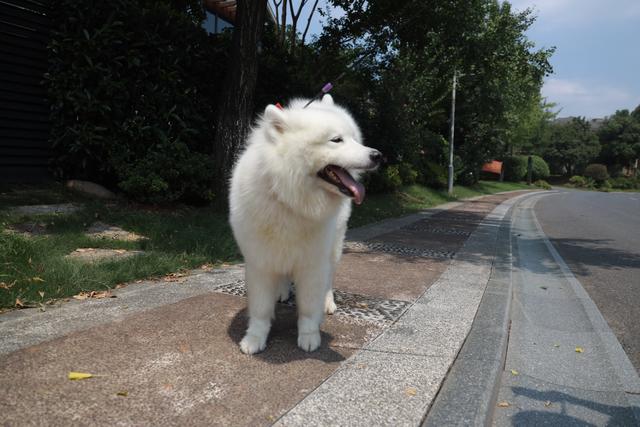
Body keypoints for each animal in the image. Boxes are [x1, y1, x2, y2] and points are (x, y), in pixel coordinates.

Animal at [229, 96, 380, 354]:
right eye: (336, 140)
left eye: (354, 139)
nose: (377, 155)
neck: (290, 201)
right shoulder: (260, 260)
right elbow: (260, 309)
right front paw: (254, 339)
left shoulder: (313, 263)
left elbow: (309, 307)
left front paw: (309, 337)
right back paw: (281, 292)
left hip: (334, 247)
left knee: (329, 280)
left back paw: (328, 302)